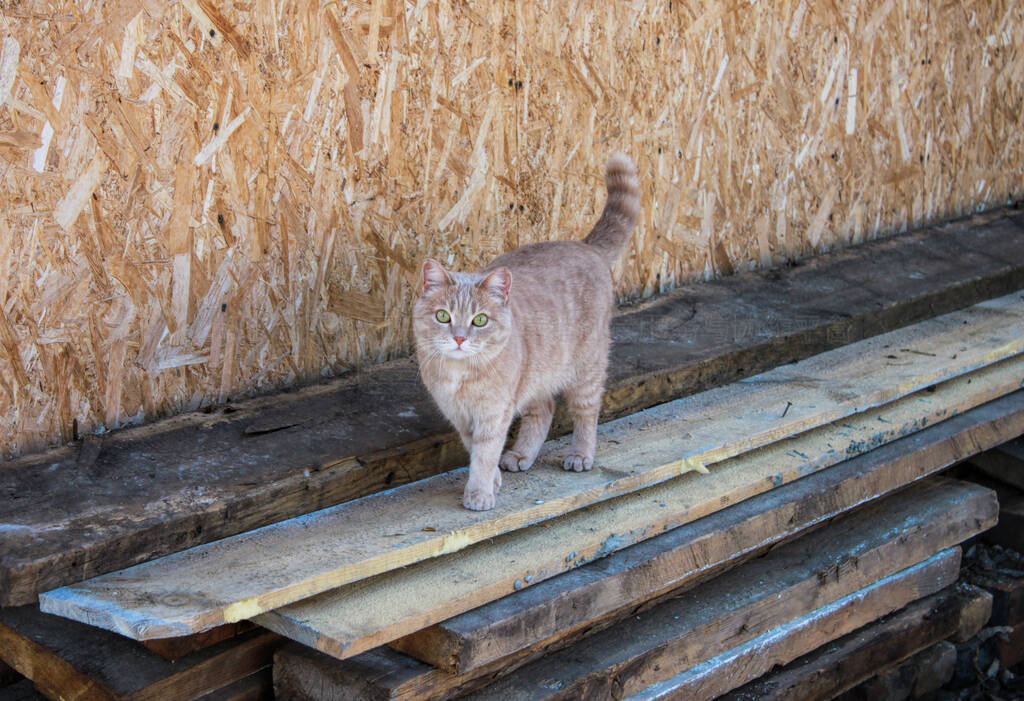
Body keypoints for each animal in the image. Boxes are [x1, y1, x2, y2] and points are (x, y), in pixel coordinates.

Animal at [409, 153, 634, 507]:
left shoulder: (493, 413)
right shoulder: (461, 417)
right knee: (544, 410)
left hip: (586, 369)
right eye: (443, 316)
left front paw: (480, 492)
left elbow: (485, 453)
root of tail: (585, 246)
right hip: (535, 376)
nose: (459, 338)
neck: (460, 374)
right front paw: (493, 480)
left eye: (480, 320)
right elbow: (475, 449)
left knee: (586, 411)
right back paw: (521, 455)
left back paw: (581, 455)